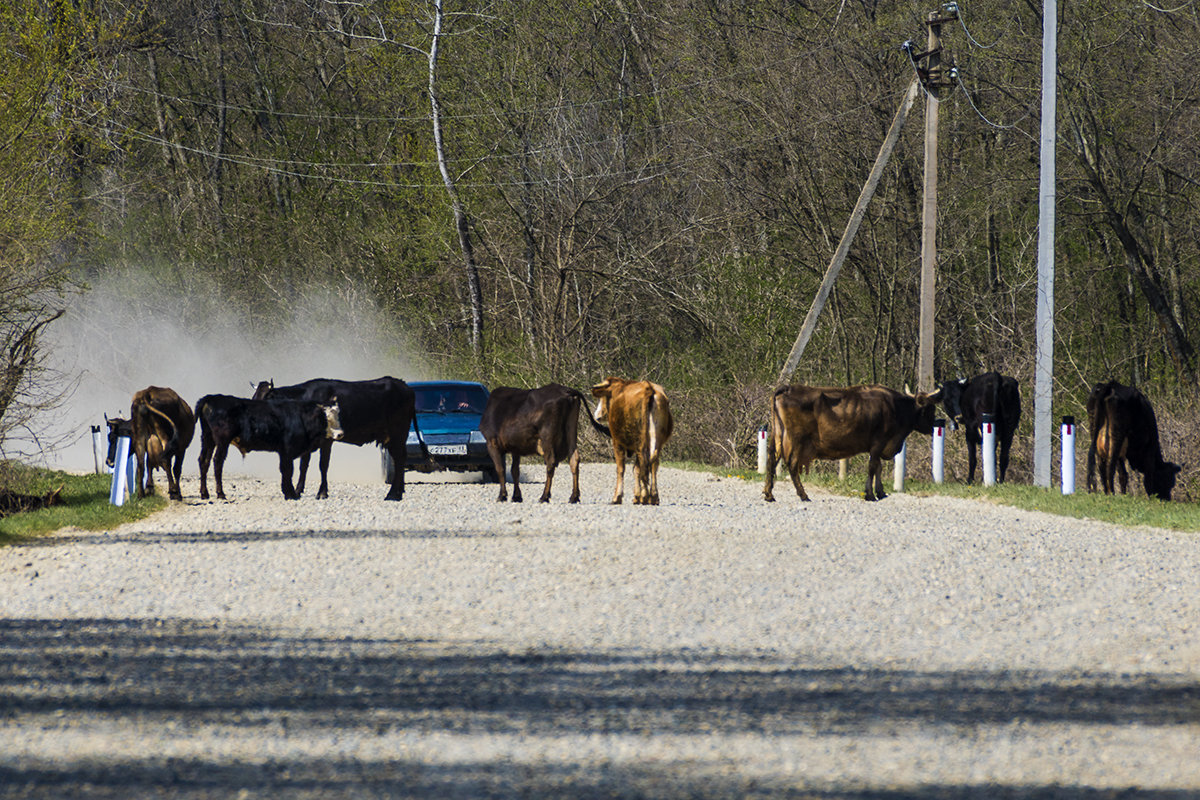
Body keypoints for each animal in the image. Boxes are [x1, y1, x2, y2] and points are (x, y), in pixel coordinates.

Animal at [192, 395, 343, 501]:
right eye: (326, 418)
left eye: (337, 416)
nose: (340, 434)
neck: (301, 418)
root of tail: (211, 398)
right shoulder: (287, 451)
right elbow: (288, 471)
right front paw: (291, 494)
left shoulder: (283, 452)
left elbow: (285, 471)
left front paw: (288, 492)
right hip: (222, 441)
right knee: (217, 462)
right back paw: (220, 493)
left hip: (207, 438)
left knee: (203, 461)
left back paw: (204, 493)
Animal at [250, 376, 434, 501]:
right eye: (253, 398)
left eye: (265, 398)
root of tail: (403, 385)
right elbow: (304, 465)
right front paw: (298, 490)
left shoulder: (326, 440)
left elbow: (323, 465)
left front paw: (322, 492)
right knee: (399, 459)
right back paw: (398, 492)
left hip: (398, 433)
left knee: (400, 459)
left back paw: (392, 494)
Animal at [477, 383, 609, 503]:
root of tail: (566, 390)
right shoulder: (516, 447)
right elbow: (515, 471)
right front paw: (517, 496)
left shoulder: (492, 443)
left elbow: (500, 469)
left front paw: (502, 495)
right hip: (571, 431)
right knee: (574, 459)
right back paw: (574, 497)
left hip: (547, 437)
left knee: (550, 462)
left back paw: (544, 496)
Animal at [763, 381, 940, 501]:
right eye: (930, 409)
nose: (934, 426)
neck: (895, 407)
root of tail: (788, 388)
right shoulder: (878, 443)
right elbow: (873, 467)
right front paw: (870, 494)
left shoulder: (877, 446)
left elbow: (878, 467)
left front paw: (880, 492)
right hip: (797, 441)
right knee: (792, 465)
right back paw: (803, 494)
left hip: (779, 436)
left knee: (772, 460)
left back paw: (769, 494)